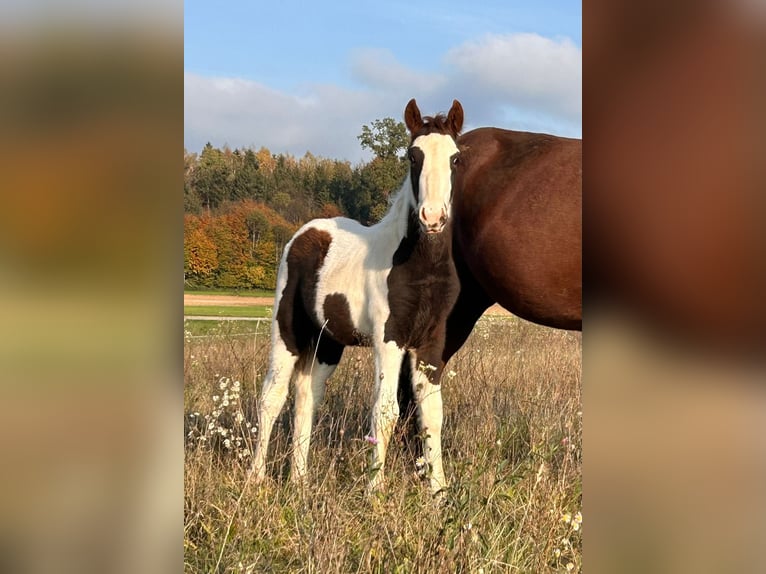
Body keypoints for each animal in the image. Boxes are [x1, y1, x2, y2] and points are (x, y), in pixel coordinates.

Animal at [255, 99, 464, 496]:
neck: (419, 267)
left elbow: (432, 415)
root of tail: (304, 233)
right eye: (413, 156)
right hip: (287, 332)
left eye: (456, 158)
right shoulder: (389, 338)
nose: (433, 217)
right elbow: (385, 411)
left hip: (327, 342)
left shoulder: (431, 342)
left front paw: (440, 494)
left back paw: (300, 481)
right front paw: (374, 492)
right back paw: (254, 479)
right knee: (272, 397)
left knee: (307, 398)